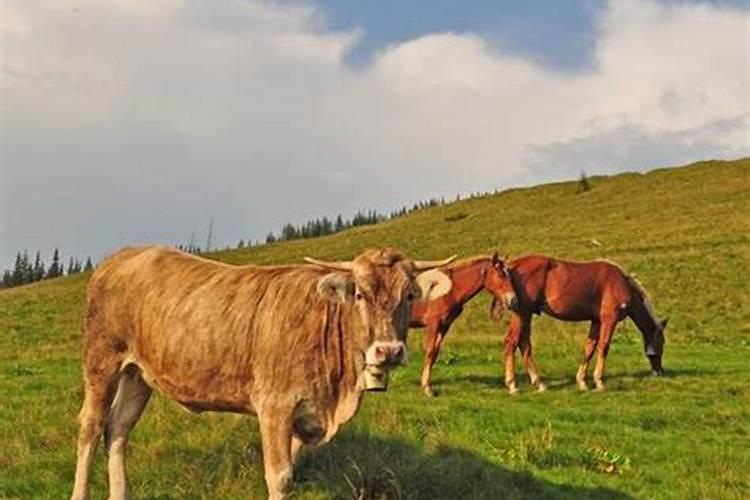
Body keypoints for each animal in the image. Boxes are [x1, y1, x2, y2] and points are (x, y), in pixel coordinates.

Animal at [70, 246, 456, 500]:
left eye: (409, 295)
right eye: (359, 294)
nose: (388, 351)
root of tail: (123, 255)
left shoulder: (304, 413)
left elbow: (291, 473)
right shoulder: (274, 405)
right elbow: (279, 477)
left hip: (138, 374)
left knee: (117, 429)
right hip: (101, 359)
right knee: (91, 427)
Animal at [408, 254, 520, 398]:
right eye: (500, 274)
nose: (513, 300)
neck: (449, 290)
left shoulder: (444, 326)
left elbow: (435, 353)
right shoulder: (433, 324)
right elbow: (429, 351)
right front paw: (427, 388)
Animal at [494, 254, 668, 394]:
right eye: (662, 342)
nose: (659, 372)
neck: (621, 283)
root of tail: (511, 267)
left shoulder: (597, 321)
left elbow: (589, 348)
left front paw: (582, 381)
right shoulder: (609, 320)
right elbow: (603, 346)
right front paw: (599, 382)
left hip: (526, 316)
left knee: (523, 344)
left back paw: (538, 383)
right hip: (522, 314)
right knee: (511, 343)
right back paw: (512, 385)